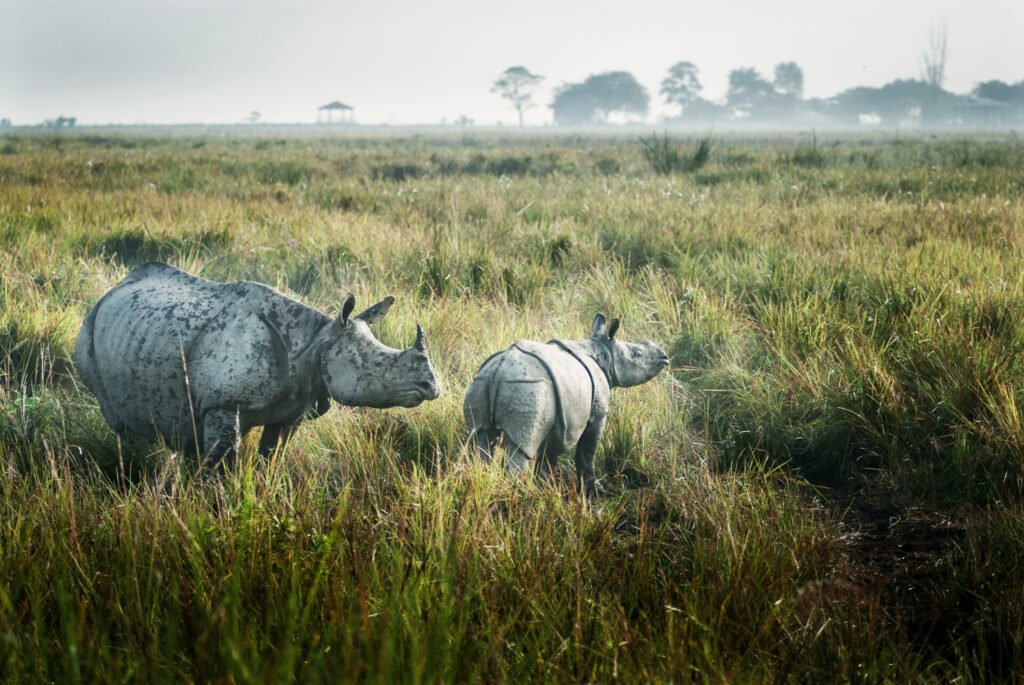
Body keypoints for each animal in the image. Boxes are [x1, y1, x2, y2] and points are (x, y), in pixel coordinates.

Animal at [74, 262, 438, 471]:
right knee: (119, 425)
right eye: (377, 365)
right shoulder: (223, 404)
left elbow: (270, 458)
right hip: (89, 332)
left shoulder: (294, 408)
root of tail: (116, 287)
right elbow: (220, 469)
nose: (432, 386)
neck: (318, 341)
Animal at [464, 313, 671, 493]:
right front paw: (594, 489)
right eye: (638, 353)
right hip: (526, 386)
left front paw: (546, 488)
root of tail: (499, 370)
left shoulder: (560, 418)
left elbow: (549, 453)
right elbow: (587, 452)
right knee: (521, 447)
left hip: (482, 380)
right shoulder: (598, 414)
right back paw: (521, 495)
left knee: (481, 440)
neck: (604, 352)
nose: (665, 357)